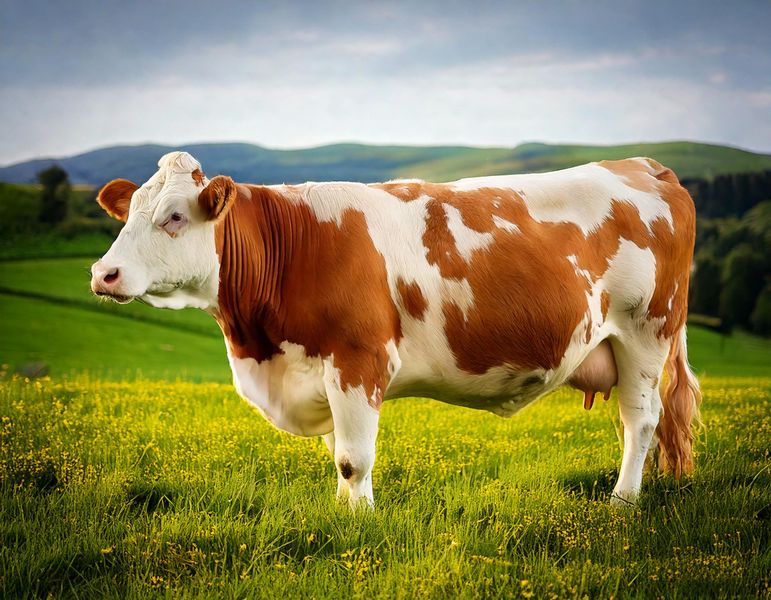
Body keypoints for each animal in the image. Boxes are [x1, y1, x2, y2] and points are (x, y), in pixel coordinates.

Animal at [91, 151, 701, 508]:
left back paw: (623, 502)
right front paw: (342, 515)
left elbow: (352, 459)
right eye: (128, 213)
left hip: (647, 331)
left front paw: (359, 523)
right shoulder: (323, 374)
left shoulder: (359, 360)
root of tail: (644, 164)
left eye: (174, 216)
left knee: (640, 422)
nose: (103, 273)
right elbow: (339, 458)